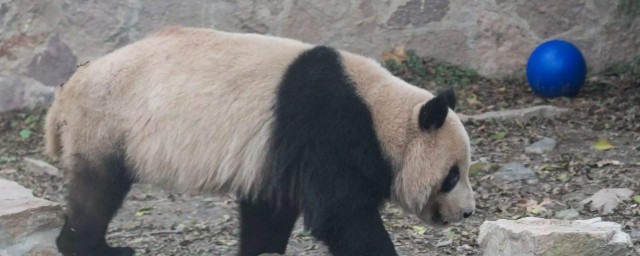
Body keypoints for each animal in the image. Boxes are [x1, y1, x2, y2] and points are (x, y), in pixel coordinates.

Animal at [45, 26, 476, 256]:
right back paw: (91, 247)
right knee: (98, 193)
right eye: (452, 175)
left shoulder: (277, 153)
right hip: (107, 122)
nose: (469, 212)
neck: (380, 114)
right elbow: (340, 214)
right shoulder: (328, 130)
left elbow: (270, 209)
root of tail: (65, 90)